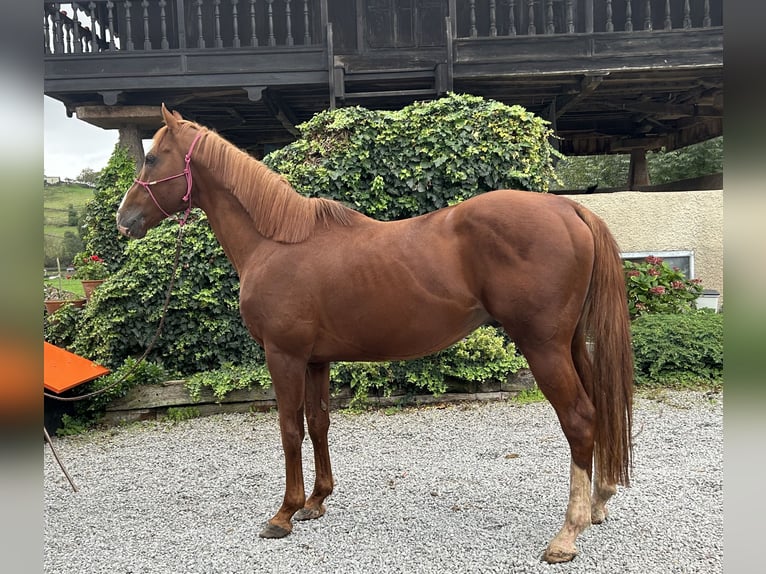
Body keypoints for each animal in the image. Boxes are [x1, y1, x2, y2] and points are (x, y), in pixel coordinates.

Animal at [117, 103, 632, 564]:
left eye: (152, 158)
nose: (124, 220)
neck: (275, 242)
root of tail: (567, 207)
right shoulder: (315, 360)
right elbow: (318, 424)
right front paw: (316, 502)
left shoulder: (283, 356)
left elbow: (289, 428)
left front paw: (283, 514)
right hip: (569, 343)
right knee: (598, 409)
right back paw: (599, 502)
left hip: (542, 347)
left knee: (579, 419)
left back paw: (566, 535)